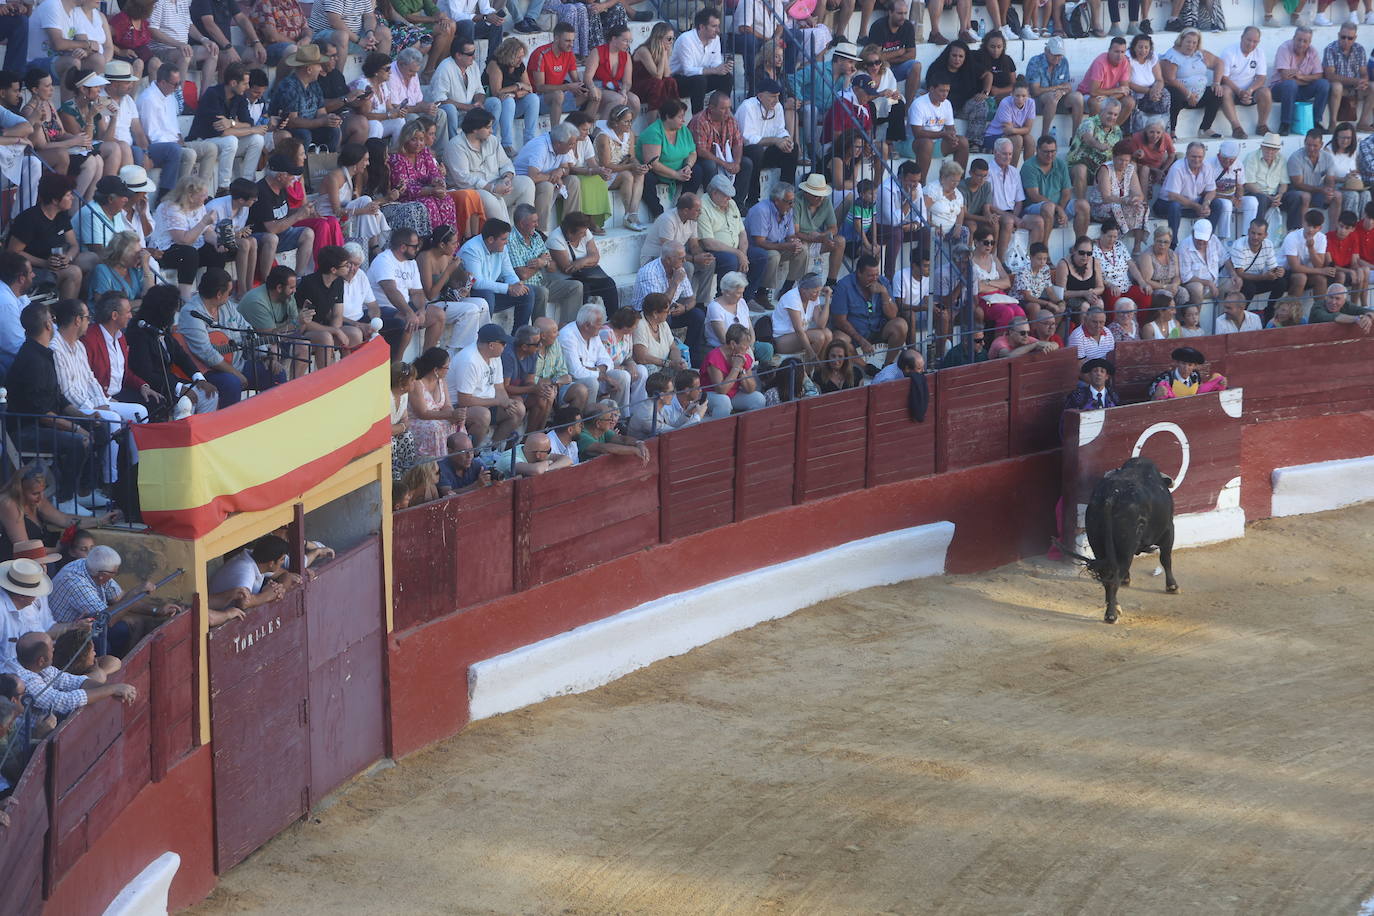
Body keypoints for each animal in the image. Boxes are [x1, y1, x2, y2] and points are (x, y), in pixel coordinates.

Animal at [1066, 455, 1176, 623]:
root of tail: (1113, 495)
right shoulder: (1168, 530)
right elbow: (1166, 558)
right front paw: (1172, 586)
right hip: (1127, 546)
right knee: (1115, 576)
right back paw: (1112, 614)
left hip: (1098, 544)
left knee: (1108, 574)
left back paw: (1114, 607)